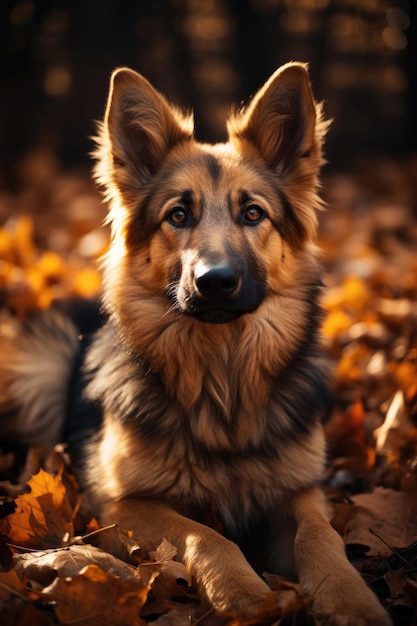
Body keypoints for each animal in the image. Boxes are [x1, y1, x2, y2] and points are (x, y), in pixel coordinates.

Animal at [0, 64, 390, 624]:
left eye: (253, 214)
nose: (216, 281)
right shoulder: (121, 506)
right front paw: (241, 591)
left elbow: (321, 537)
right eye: (178, 215)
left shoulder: (300, 492)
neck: (221, 376)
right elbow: (204, 534)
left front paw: (351, 597)